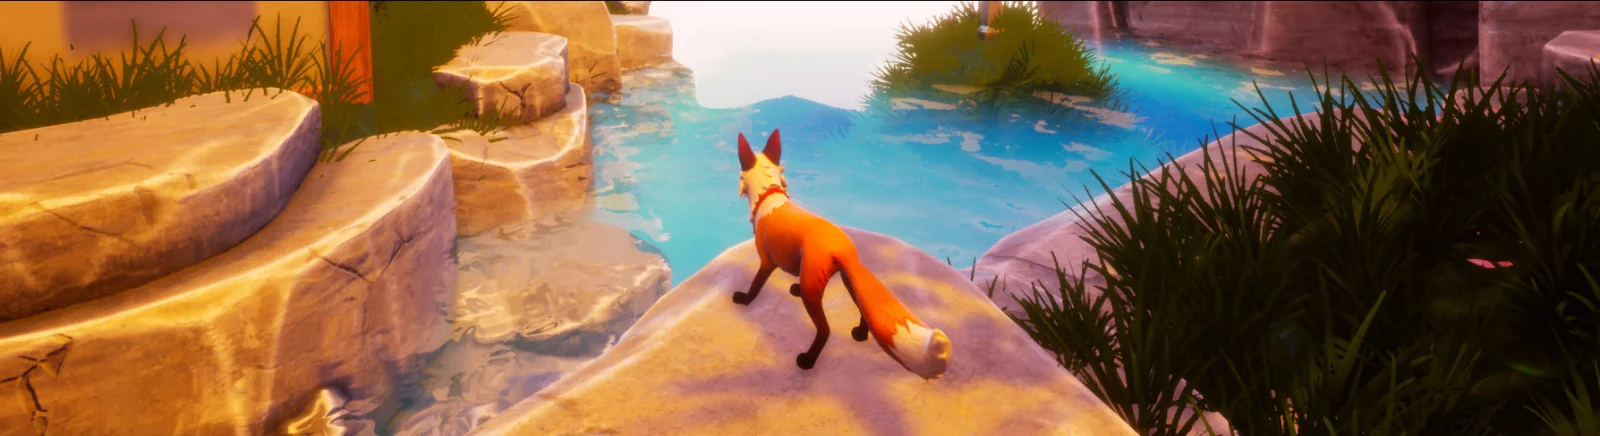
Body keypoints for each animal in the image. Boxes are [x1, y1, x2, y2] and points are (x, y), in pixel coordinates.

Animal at [731, 128, 951, 380]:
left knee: (825, 330)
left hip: (813, 290)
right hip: (847, 280)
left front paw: (744, 299)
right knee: (862, 310)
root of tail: (843, 247)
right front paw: (792, 288)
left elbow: (755, 286)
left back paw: (807, 361)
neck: (769, 196)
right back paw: (860, 334)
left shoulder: (767, 262)